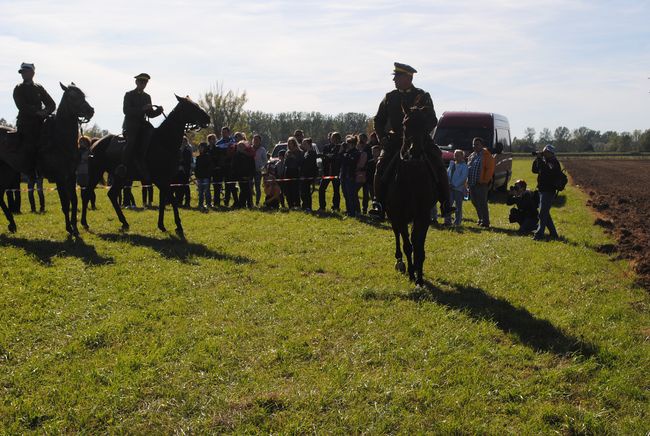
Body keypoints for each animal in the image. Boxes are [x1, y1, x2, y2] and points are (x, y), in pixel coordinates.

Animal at [0, 84, 93, 237]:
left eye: (83, 95)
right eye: (72, 97)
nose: (90, 111)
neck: (60, 141)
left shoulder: (71, 177)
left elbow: (74, 201)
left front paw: (75, 227)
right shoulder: (60, 178)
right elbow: (65, 204)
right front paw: (69, 228)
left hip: (7, 172)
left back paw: (12, 225)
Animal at [79, 95, 209, 237]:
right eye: (191, 107)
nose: (207, 118)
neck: (164, 141)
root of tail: (94, 144)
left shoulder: (165, 180)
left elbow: (163, 201)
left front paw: (162, 225)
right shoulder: (160, 180)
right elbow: (172, 199)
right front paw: (178, 226)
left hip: (119, 178)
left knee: (111, 195)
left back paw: (124, 223)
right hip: (97, 173)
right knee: (87, 194)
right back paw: (85, 223)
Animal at [382, 106, 438, 286]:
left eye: (425, 124)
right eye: (405, 124)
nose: (414, 151)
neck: (412, 176)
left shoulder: (423, 216)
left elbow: (418, 246)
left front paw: (419, 276)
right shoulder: (399, 215)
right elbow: (408, 245)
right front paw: (412, 273)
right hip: (392, 214)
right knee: (397, 234)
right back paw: (400, 262)